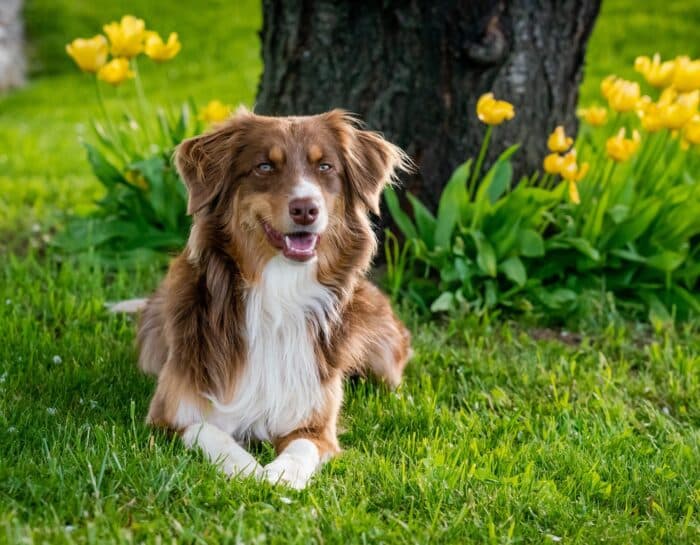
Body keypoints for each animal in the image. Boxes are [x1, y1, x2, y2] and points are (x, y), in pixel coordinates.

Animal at [135, 107, 412, 488]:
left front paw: (281, 475)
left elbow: (301, 449)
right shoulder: (167, 416)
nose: (305, 209)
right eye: (265, 166)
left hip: (383, 355)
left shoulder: (315, 423)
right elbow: (208, 432)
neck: (279, 292)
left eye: (325, 167)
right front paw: (247, 469)